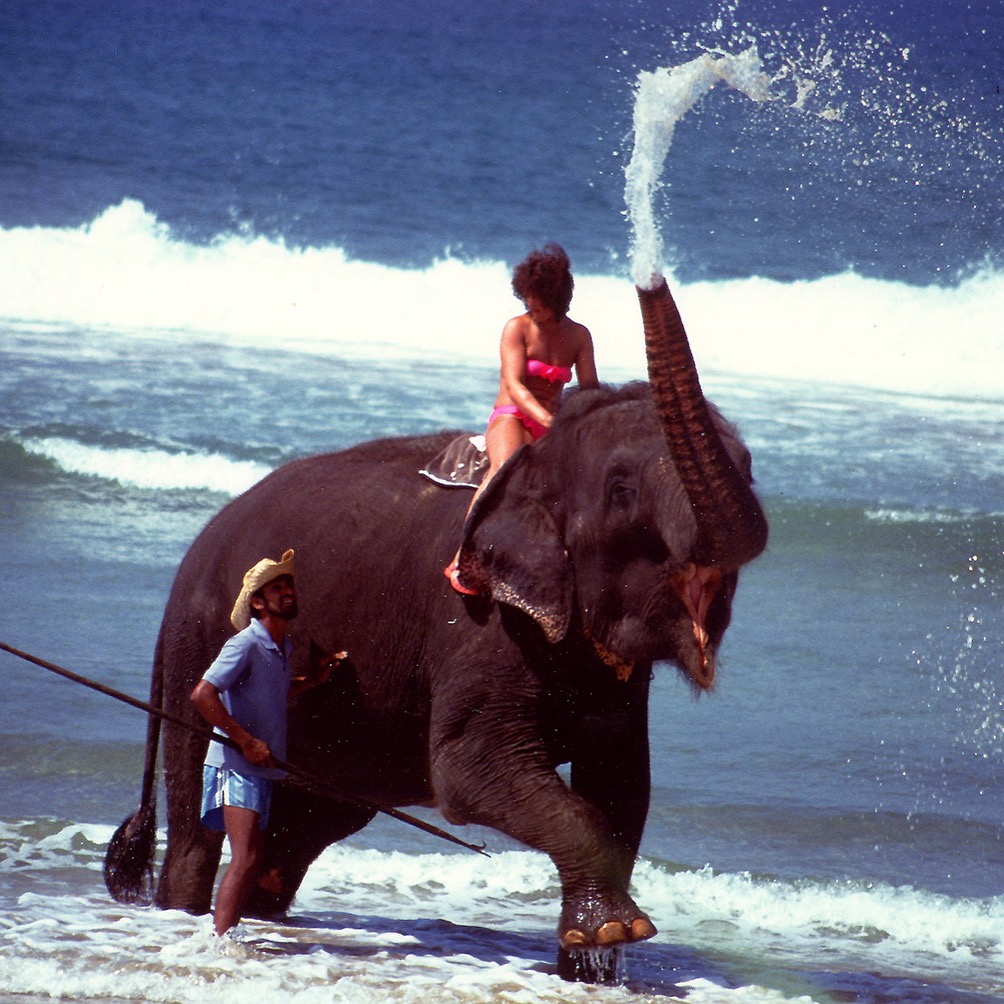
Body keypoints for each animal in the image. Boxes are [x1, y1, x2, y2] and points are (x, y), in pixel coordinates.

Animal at [105, 278, 768, 982]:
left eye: (750, 464)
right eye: (621, 490)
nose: (648, 274)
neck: (539, 460)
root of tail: (190, 557)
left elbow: (624, 779)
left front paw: (594, 956)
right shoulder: (481, 624)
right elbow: (466, 770)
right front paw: (615, 931)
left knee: (301, 831)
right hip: (197, 647)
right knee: (200, 824)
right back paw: (187, 912)